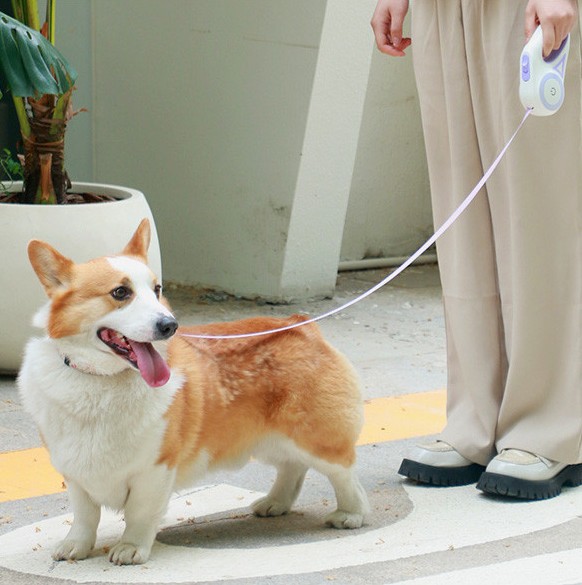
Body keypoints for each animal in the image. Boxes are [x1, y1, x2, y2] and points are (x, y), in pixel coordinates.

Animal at [20, 220, 372, 564]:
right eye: (120, 292)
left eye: (157, 290)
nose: (169, 326)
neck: (102, 381)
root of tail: (302, 324)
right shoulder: (75, 473)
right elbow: (84, 516)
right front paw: (75, 547)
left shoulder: (155, 468)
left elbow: (140, 513)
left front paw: (131, 547)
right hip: (267, 439)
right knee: (292, 466)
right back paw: (275, 503)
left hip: (314, 439)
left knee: (345, 473)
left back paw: (351, 514)